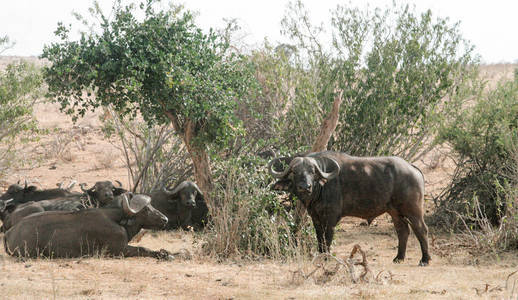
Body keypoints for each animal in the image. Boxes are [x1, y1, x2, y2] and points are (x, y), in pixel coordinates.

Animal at [4, 193, 172, 258]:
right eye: (146, 209)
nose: (165, 219)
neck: (118, 219)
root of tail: (9, 232)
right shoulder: (119, 250)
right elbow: (144, 249)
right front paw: (164, 255)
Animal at [270, 151, 432, 266]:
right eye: (295, 171)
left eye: (312, 171)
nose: (305, 187)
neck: (320, 189)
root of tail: (412, 167)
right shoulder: (316, 218)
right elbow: (320, 239)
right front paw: (321, 255)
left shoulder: (330, 219)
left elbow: (327, 239)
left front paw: (326, 258)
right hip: (395, 212)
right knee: (403, 231)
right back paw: (399, 258)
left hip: (413, 210)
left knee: (421, 229)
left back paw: (425, 259)